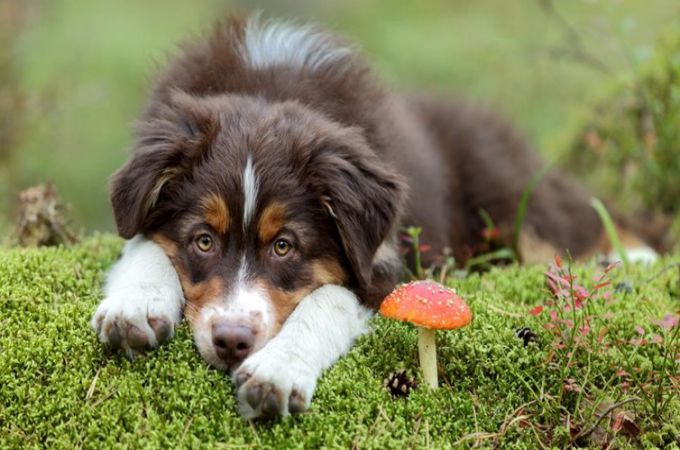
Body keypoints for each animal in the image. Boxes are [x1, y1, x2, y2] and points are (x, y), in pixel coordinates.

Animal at [90, 15, 660, 420]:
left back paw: (632, 255)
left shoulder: (383, 261)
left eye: (284, 246)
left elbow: (327, 302)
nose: (232, 342)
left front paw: (277, 371)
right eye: (203, 241)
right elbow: (142, 243)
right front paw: (135, 306)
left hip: (508, 194)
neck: (269, 91)